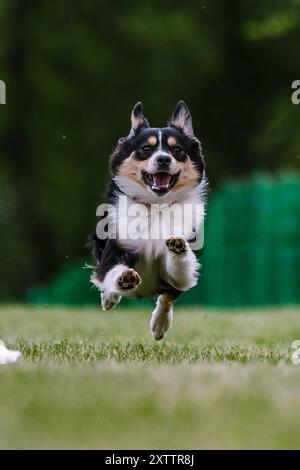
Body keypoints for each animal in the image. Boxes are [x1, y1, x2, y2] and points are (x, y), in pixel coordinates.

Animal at [90, 101, 207, 340]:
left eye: (177, 150)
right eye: (146, 148)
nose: (163, 159)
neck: (156, 206)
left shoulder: (181, 271)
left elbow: (176, 278)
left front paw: (177, 246)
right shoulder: (117, 246)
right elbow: (110, 270)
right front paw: (123, 278)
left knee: (167, 297)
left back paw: (159, 325)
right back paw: (109, 298)